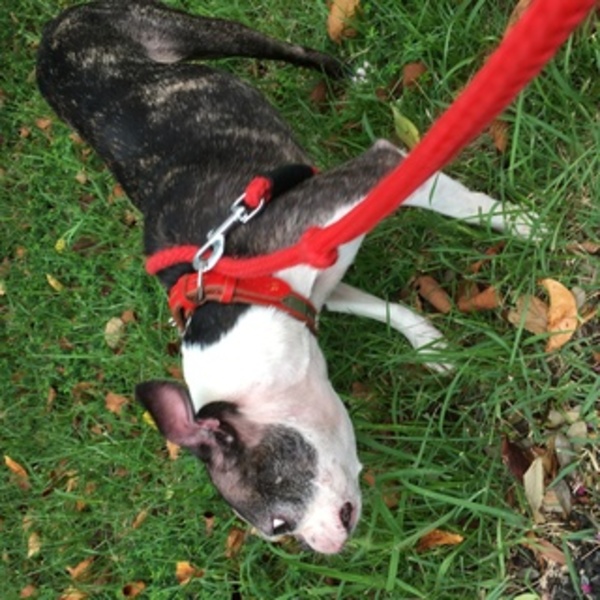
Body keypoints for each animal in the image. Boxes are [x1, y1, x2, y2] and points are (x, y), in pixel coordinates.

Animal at [37, 0, 538, 554]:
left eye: (278, 523)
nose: (326, 548)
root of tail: (54, 28)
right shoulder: (319, 287)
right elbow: (382, 307)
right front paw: (428, 344)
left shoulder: (372, 174)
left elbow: (446, 198)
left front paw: (519, 223)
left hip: (201, 32)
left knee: (283, 48)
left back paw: (346, 72)